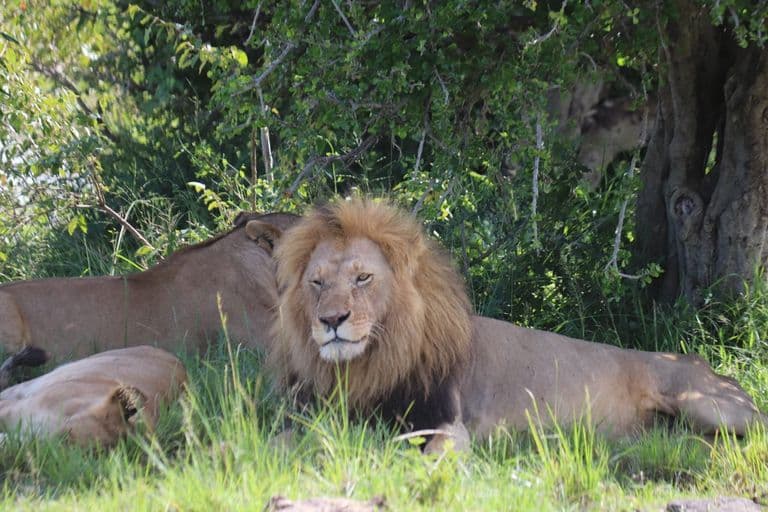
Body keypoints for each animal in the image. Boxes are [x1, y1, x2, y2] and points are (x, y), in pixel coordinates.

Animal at [260, 198, 766, 452]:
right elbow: (275, 440)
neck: (365, 367)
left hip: (709, 406)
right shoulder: (311, 416)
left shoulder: (447, 425)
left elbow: (426, 461)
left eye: (363, 278)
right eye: (317, 283)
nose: (331, 320)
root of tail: (705, 364)